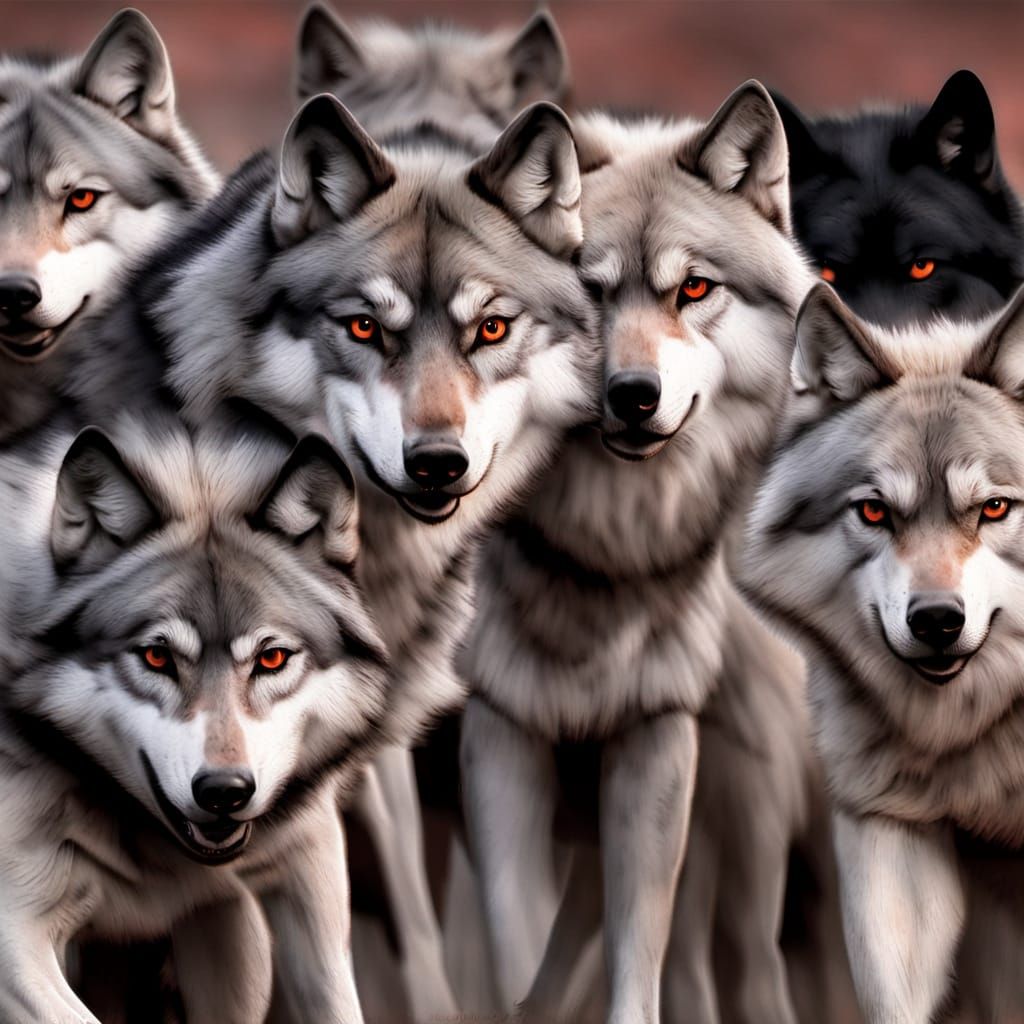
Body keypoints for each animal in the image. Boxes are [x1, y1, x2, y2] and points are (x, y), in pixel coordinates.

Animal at [457, 83, 818, 1024]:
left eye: (693, 288)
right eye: (590, 289)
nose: (632, 396)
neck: (604, 556)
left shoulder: (657, 737)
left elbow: (633, 960)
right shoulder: (498, 726)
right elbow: (515, 938)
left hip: (743, 830)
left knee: (741, 971)